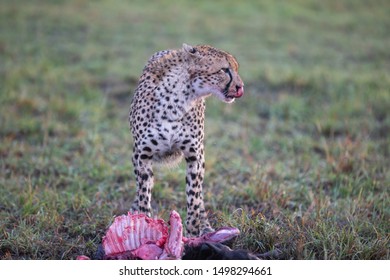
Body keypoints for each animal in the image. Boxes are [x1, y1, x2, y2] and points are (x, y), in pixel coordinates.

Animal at [129, 43, 244, 236]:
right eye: (224, 70)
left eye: (235, 69)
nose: (241, 87)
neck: (177, 99)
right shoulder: (143, 157)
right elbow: (144, 195)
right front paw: (144, 227)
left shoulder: (194, 156)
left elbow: (194, 198)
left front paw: (191, 234)